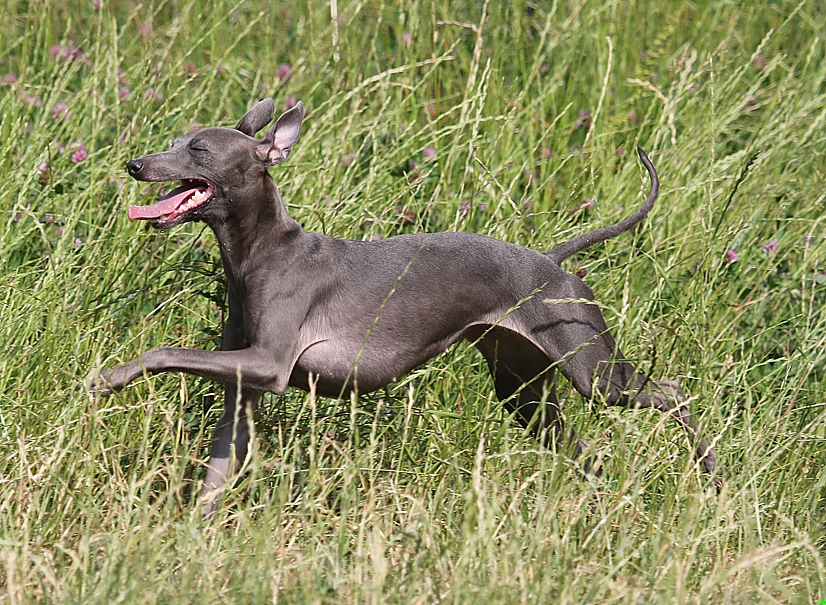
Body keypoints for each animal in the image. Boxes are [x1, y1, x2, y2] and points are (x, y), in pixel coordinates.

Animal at [93, 98, 716, 510]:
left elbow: (164, 351)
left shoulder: (269, 365)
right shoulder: (242, 391)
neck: (262, 252)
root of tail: (552, 260)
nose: (135, 164)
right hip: (524, 392)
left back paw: (709, 474)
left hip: (594, 373)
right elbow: (217, 472)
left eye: (197, 149)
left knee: (674, 393)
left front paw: (109, 377)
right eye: (176, 141)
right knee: (585, 448)